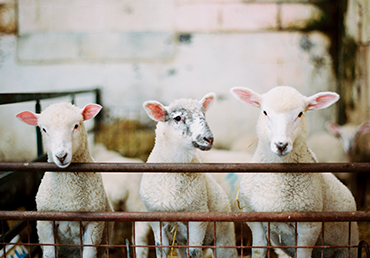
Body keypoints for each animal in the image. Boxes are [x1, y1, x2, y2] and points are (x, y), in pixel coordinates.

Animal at [15, 102, 113, 258]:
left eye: (76, 126)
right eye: (44, 129)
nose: (61, 156)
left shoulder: (94, 224)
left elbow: (89, 253)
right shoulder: (45, 222)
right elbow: (49, 253)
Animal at [138, 93, 237, 258]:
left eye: (204, 115)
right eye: (177, 118)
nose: (209, 138)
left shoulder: (198, 217)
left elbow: (195, 252)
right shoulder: (155, 219)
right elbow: (160, 249)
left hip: (224, 237)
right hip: (181, 242)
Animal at [231, 86, 358, 258]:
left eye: (300, 114)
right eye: (265, 112)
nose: (281, 145)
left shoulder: (309, 226)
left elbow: (303, 253)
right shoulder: (254, 218)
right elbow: (258, 249)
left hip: (346, 248)